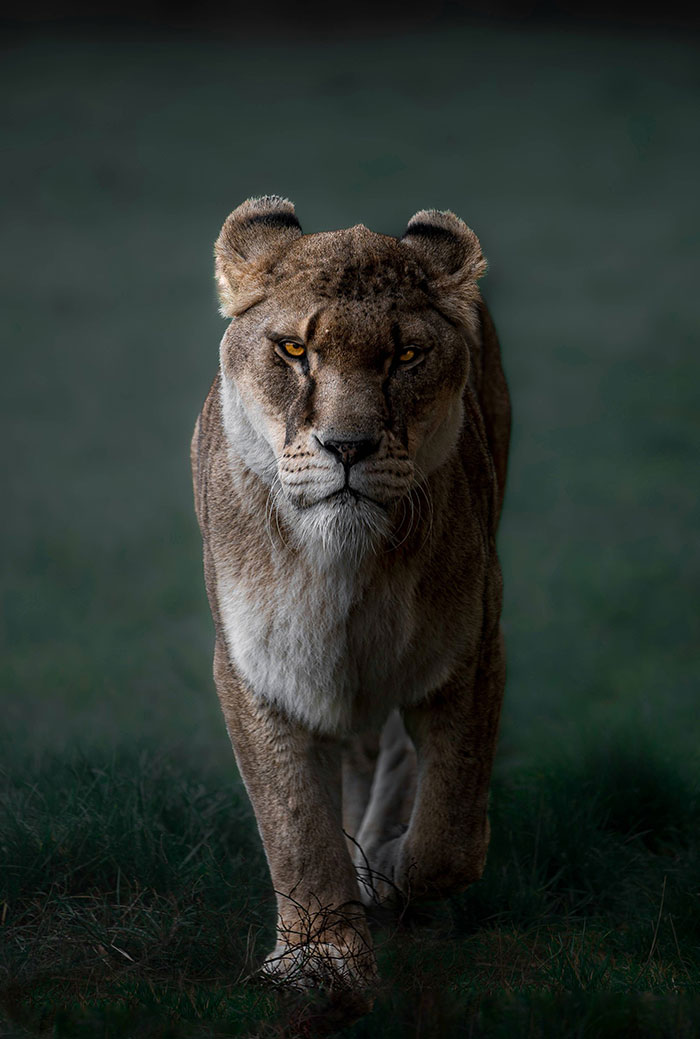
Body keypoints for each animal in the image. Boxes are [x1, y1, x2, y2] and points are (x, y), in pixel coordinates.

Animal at [191, 195, 510, 1003]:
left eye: (405, 357)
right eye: (293, 350)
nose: (347, 446)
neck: (343, 564)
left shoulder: (472, 651)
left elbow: (451, 831)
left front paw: (391, 871)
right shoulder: (258, 672)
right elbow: (295, 824)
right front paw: (322, 958)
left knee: (395, 760)